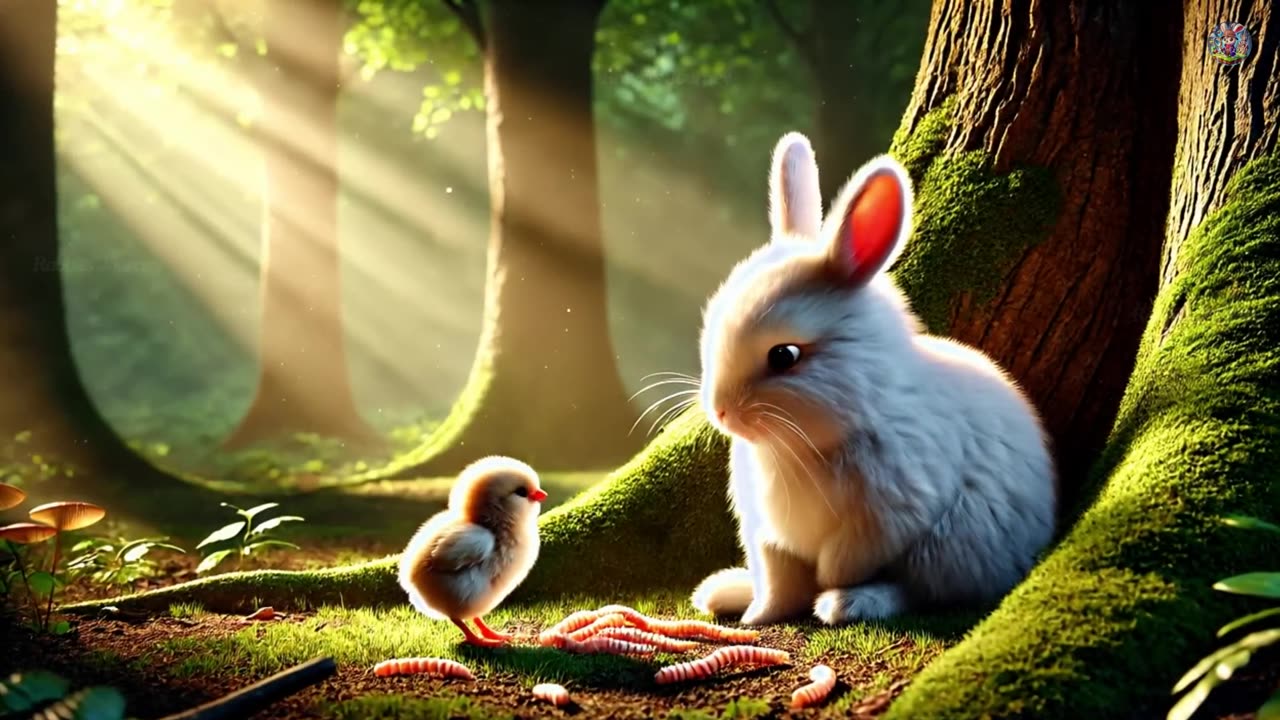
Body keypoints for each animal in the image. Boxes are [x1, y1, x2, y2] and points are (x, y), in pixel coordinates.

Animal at [689, 132, 1057, 626]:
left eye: (784, 356)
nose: (721, 412)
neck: (804, 445)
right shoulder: (768, 536)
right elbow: (778, 588)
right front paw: (756, 618)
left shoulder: (892, 514)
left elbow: (841, 560)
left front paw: (826, 587)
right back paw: (724, 591)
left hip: (949, 548)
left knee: (919, 593)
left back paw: (846, 603)